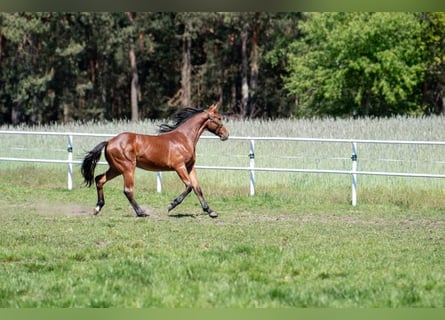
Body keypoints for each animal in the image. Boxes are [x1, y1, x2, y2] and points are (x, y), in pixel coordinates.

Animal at [80, 104, 231, 219]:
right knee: (128, 190)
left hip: (116, 168)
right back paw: (141, 213)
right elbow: (189, 186)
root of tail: (109, 142)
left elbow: (197, 188)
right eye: (218, 118)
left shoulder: (190, 167)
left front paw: (210, 211)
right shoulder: (179, 167)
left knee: (99, 179)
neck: (184, 138)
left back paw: (97, 208)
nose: (226, 135)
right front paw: (170, 206)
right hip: (127, 168)